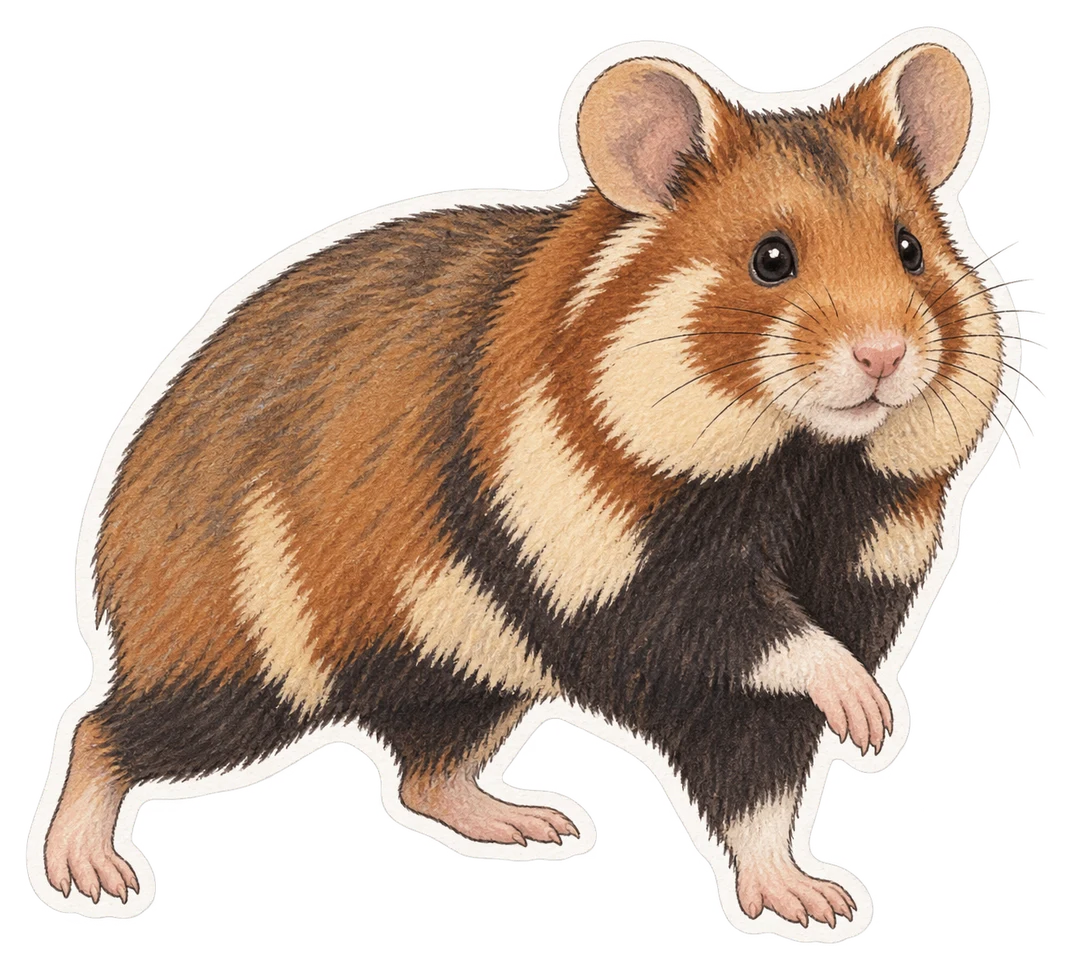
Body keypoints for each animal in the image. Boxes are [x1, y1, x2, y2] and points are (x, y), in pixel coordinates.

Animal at [44, 43, 1001, 930]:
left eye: (911, 250)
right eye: (773, 258)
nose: (884, 355)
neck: (801, 471)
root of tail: (114, 543)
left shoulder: (845, 594)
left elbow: (760, 789)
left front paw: (812, 898)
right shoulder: (617, 579)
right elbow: (768, 645)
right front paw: (868, 714)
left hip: (465, 677)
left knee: (422, 776)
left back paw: (536, 826)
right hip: (242, 675)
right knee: (100, 733)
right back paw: (86, 873)